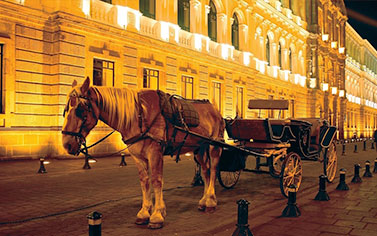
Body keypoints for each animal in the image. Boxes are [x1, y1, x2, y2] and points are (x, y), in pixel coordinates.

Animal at [61, 77, 223, 229]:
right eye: (65, 109)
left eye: (79, 110)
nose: (66, 143)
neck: (139, 115)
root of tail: (215, 110)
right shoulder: (138, 157)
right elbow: (144, 182)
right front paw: (145, 213)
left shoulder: (155, 153)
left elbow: (156, 181)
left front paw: (157, 215)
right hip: (199, 148)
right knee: (206, 171)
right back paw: (204, 200)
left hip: (214, 146)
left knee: (214, 170)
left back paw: (211, 201)